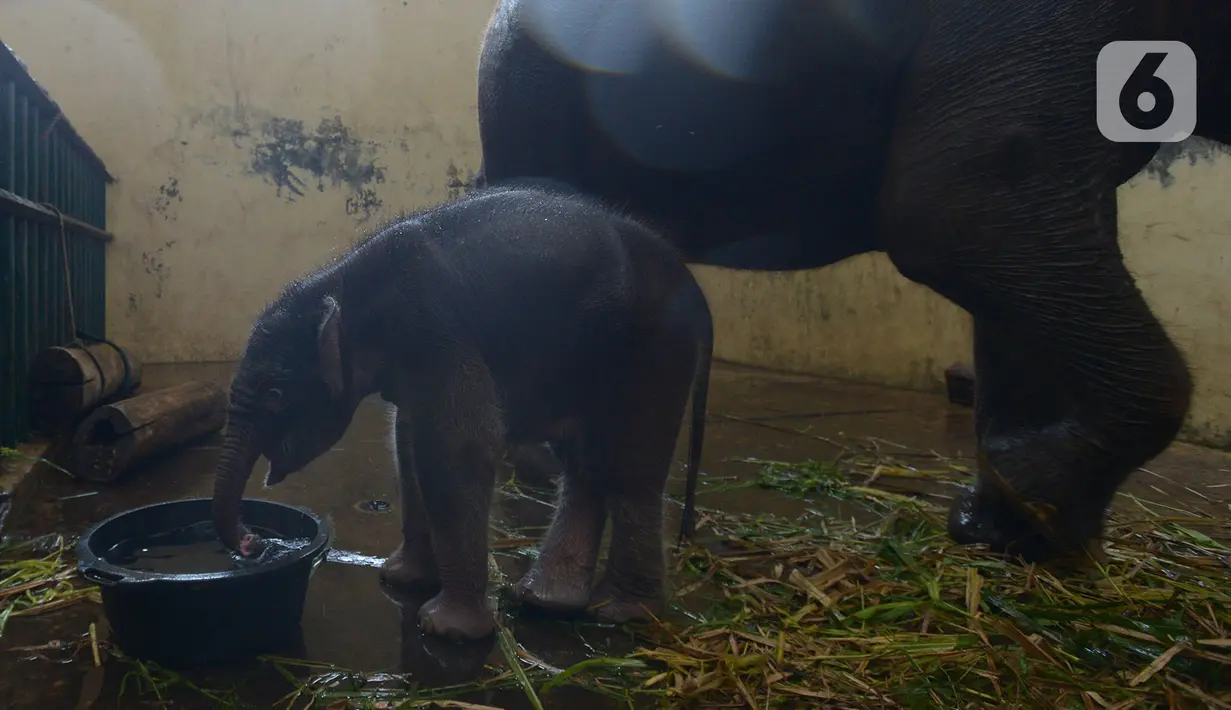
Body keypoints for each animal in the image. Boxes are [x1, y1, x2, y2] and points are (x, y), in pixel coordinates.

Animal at [211, 183, 713, 640]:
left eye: (275, 393)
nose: (252, 543)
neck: (344, 277)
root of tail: (691, 281)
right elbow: (408, 444)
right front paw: (401, 580)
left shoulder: (438, 329)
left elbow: (458, 447)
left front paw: (443, 627)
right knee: (585, 466)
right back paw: (547, 600)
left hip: (653, 351)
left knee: (629, 469)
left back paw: (618, 612)